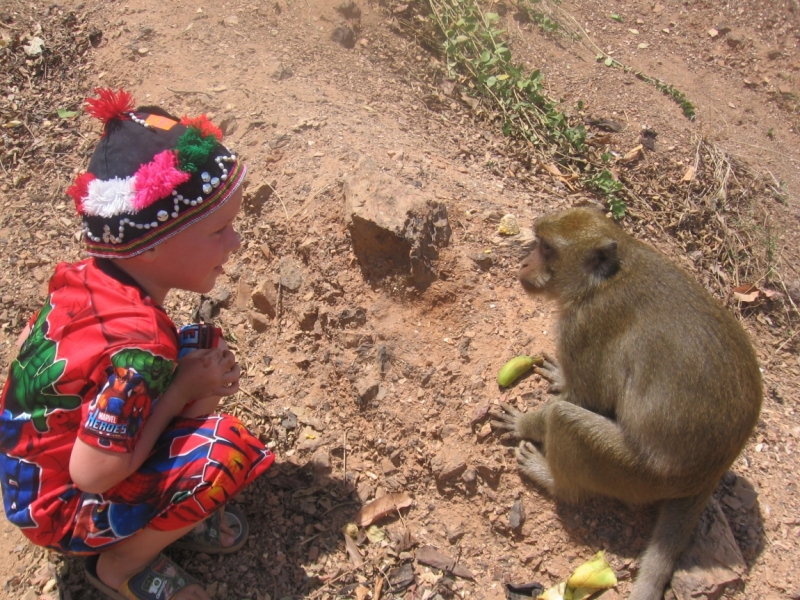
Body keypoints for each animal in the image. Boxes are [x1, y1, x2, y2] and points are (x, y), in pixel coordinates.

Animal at [488, 207, 764, 600]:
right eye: (537, 242)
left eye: (546, 248)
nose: (525, 263)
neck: (602, 281)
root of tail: (709, 472)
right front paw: (561, 377)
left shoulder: (585, 324)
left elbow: (587, 398)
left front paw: (524, 423)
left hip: (634, 474)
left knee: (566, 421)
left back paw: (553, 479)